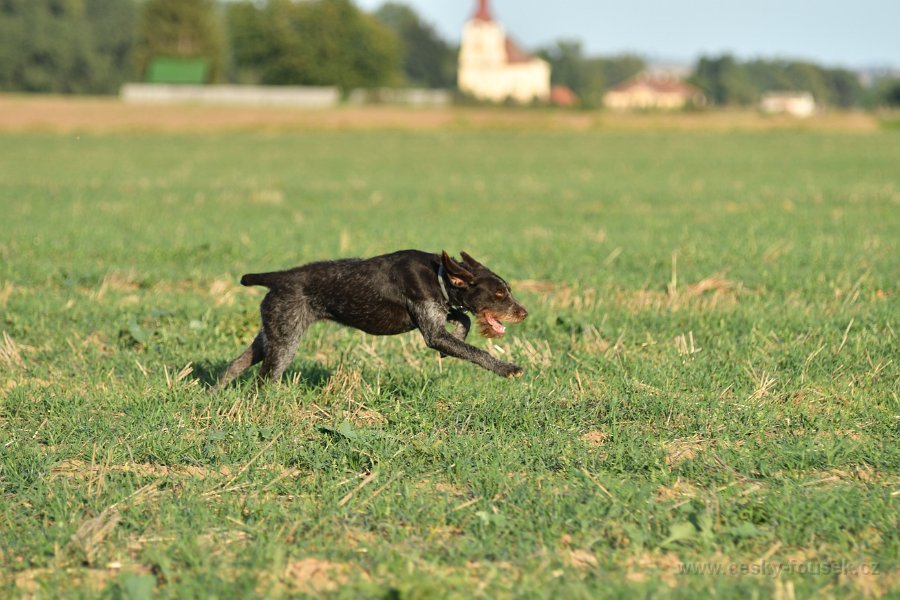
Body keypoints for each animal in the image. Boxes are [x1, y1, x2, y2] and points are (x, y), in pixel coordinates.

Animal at [213, 250, 528, 386]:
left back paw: (215, 395)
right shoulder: (433, 332)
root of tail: (278, 278)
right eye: (499, 293)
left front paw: (454, 343)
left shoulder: (441, 315)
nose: (523, 312)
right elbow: (476, 351)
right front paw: (507, 368)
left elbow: (464, 320)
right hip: (285, 342)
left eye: (508, 290)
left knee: (235, 364)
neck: (439, 275)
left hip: (272, 334)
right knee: (264, 378)